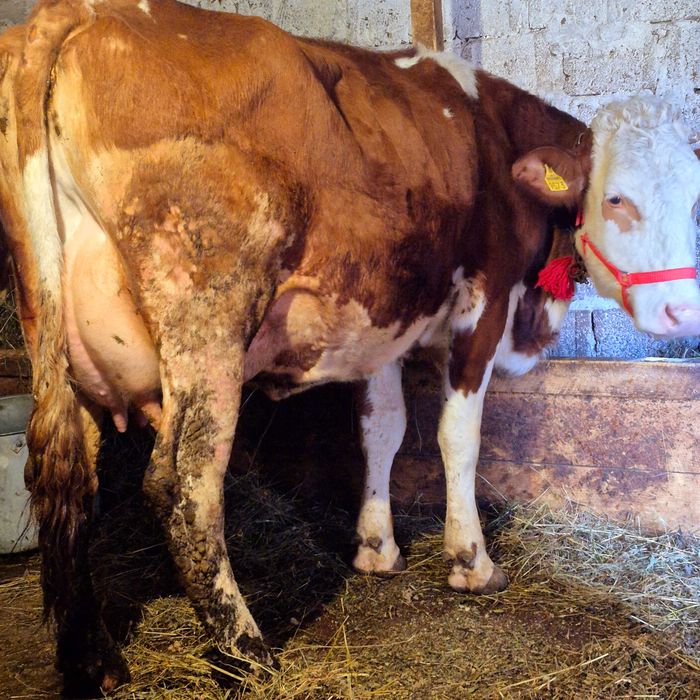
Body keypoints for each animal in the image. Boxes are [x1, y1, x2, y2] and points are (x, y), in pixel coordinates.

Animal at [0, 0, 698, 694]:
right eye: (615, 197)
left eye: (694, 204)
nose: (682, 309)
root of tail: (78, 14)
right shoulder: (484, 299)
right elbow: (457, 435)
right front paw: (471, 560)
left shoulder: (380, 322)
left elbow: (381, 429)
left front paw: (376, 548)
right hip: (209, 319)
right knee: (184, 486)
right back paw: (244, 650)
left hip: (56, 339)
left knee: (63, 479)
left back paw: (93, 659)